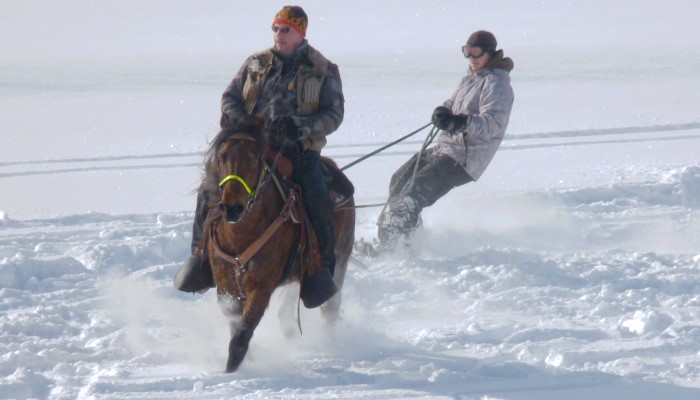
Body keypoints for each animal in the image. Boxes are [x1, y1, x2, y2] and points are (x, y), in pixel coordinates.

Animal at [201, 118, 356, 372]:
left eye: (255, 157)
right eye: (221, 156)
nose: (232, 207)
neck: (240, 236)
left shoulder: (260, 289)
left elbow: (240, 339)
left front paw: (230, 372)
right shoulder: (226, 289)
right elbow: (235, 327)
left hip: (340, 259)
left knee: (331, 308)